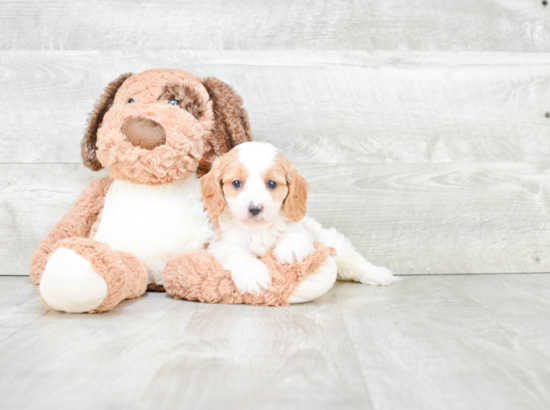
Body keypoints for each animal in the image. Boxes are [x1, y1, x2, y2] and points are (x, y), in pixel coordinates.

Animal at [203, 141, 396, 294]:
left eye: (271, 184)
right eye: (236, 183)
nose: (255, 208)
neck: (258, 229)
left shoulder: (303, 228)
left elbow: (294, 232)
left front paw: (291, 249)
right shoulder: (221, 244)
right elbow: (237, 254)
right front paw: (253, 275)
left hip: (333, 242)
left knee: (354, 263)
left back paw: (377, 274)